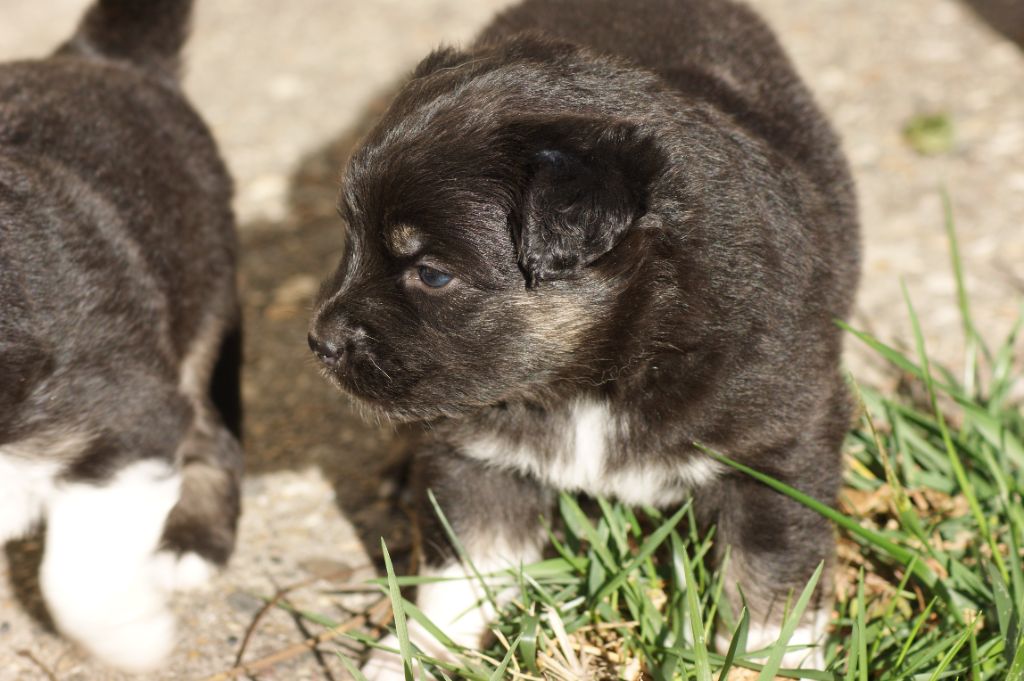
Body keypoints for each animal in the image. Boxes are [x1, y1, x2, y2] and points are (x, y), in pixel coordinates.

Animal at [0, 0, 242, 671]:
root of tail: (98, 57)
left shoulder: (129, 416)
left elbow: (75, 576)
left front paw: (132, 638)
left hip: (197, 311)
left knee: (214, 439)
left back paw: (190, 544)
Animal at [309, 0, 859, 674]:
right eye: (350, 238)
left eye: (432, 274)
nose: (319, 342)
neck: (598, 376)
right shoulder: (477, 452)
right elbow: (462, 569)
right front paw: (416, 654)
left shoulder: (777, 448)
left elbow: (770, 587)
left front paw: (773, 665)